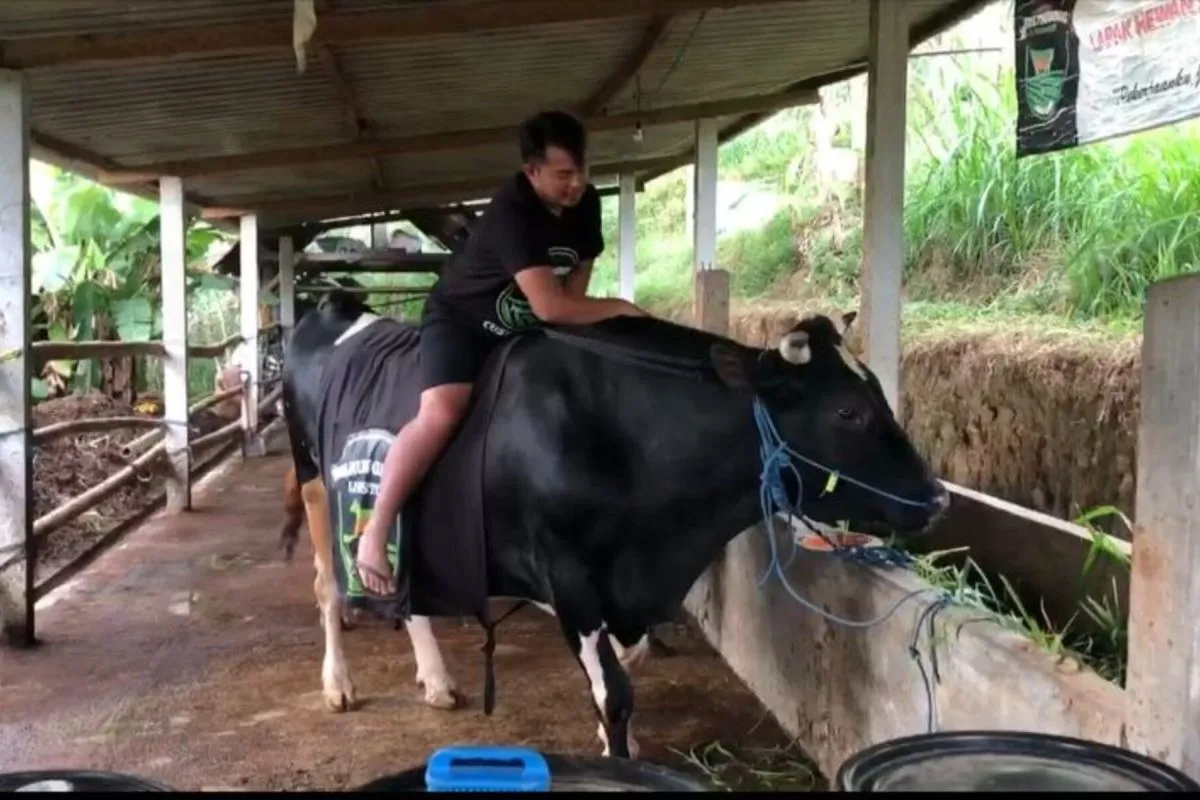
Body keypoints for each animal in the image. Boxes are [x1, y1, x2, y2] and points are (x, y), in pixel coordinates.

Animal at [278, 291, 945, 762]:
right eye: (847, 411)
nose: (937, 498)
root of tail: (334, 307)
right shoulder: (567, 571)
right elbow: (615, 692)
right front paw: (618, 755)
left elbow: (631, 662)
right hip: (314, 482)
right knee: (327, 588)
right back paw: (338, 683)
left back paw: (437, 679)